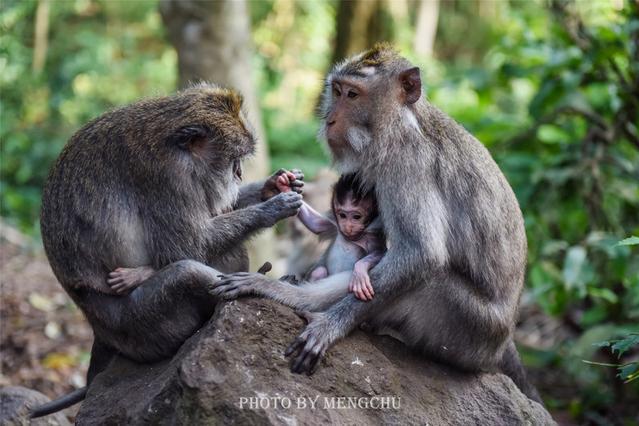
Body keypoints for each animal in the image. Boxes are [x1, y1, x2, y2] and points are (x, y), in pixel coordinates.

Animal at [31, 85, 306, 418]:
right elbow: (187, 247)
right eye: (234, 159)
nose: (239, 174)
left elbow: (217, 213)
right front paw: (272, 207)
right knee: (186, 273)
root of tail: (97, 327)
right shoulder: (167, 176)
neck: (175, 141)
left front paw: (274, 185)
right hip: (140, 328)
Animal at [278, 171, 384, 302]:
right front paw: (285, 186)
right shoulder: (336, 225)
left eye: (356, 217)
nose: (347, 226)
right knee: (319, 271)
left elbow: (380, 252)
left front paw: (360, 271)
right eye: (342, 215)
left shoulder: (371, 237)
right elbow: (315, 224)